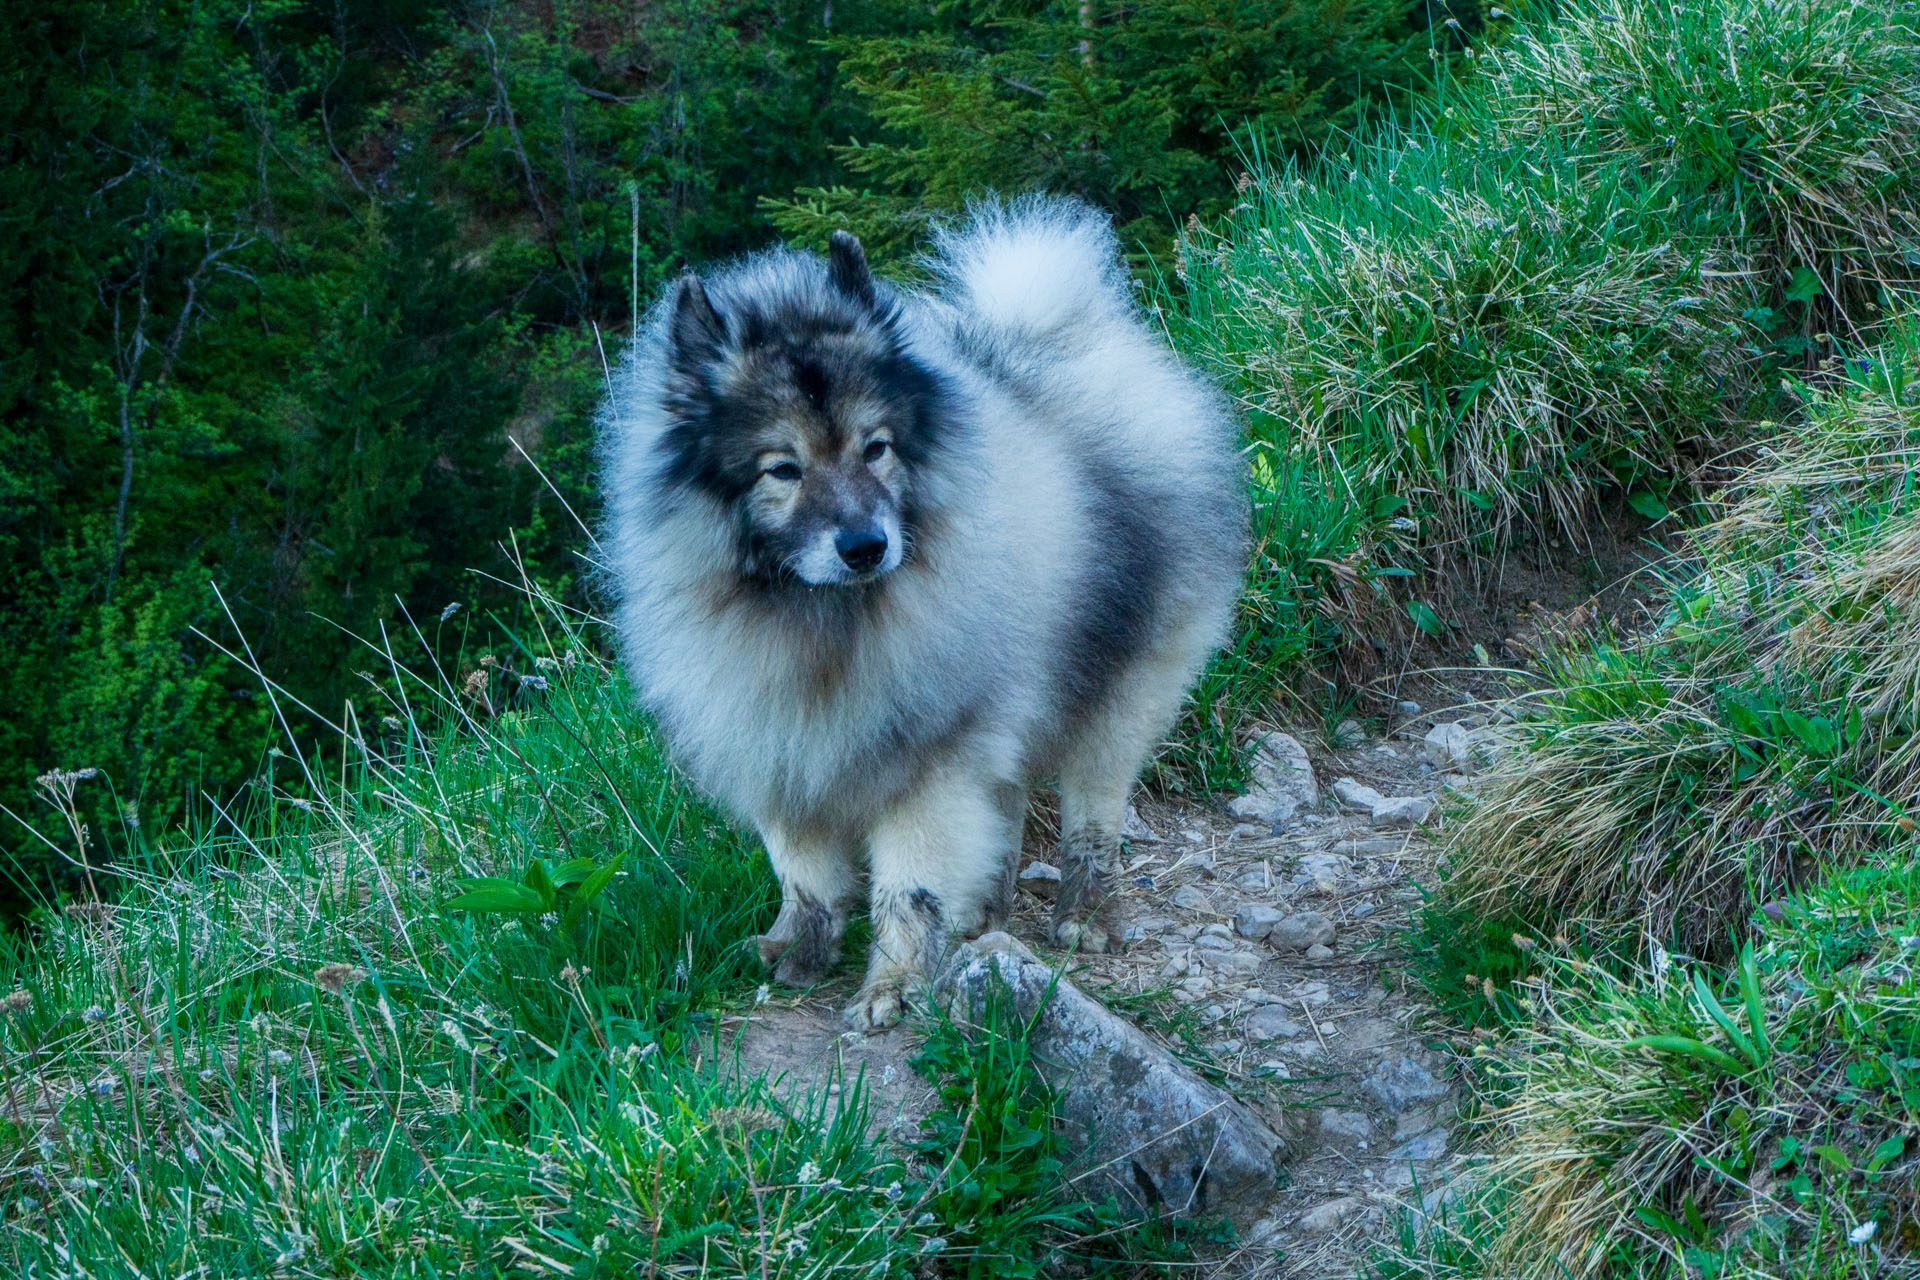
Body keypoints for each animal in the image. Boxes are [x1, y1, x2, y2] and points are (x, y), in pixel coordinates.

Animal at [606, 202, 1251, 1043]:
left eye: (876, 449)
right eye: (783, 469)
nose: (864, 546)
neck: (819, 617)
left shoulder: (928, 764)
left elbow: (907, 887)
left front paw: (896, 985)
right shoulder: (781, 743)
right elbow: (804, 873)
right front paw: (798, 948)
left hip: (1124, 691)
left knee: (1094, 815)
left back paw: (1084, 911)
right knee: (1009, 804)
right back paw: (984, 912)